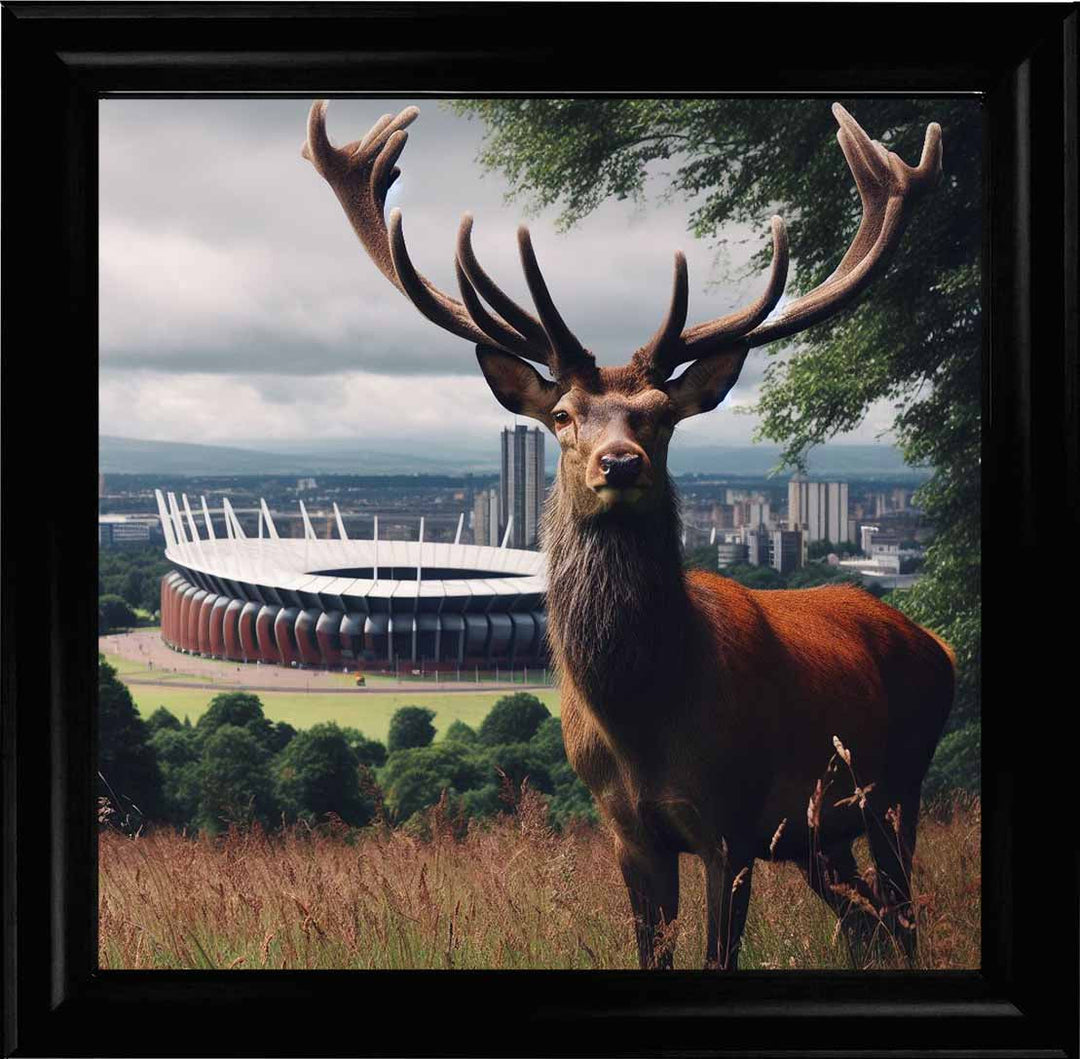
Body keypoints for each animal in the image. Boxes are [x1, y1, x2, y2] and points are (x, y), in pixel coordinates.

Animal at [302, 99, 952, 970]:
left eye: (661, 415)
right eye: (563, 414)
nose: (619, 461)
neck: (646, 714)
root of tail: (938, 644)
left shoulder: (731, 824)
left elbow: (719, 954)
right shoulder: (628, 830)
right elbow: (654, 949)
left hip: (897, 789)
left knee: (902, 917)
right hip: (822, 833)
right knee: (865, 922)